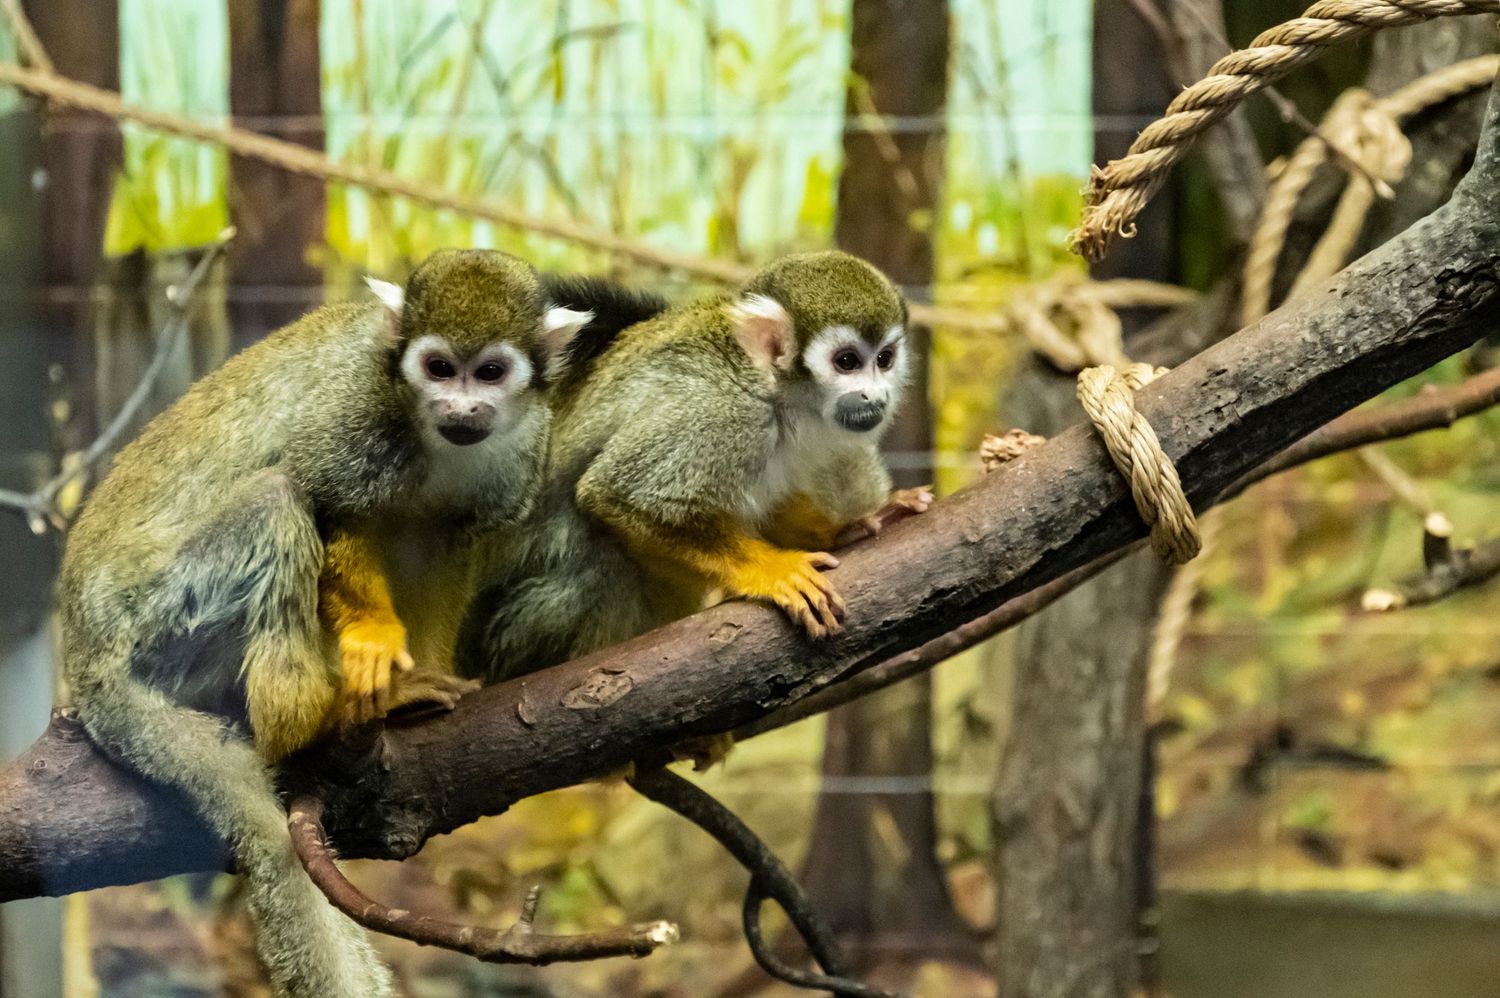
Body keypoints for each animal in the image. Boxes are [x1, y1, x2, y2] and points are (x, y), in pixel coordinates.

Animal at [58, 248, 593, 998]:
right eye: (437, 367)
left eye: (490, 372)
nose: (461, 407)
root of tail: (83, 658)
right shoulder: (357, 411)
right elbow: (326, 501)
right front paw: (375, 647)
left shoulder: (522, 448)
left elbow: (441, 539)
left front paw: (422, 674)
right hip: (153, 622)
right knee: (278, 501)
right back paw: (303, 717)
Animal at [458, 250, 931, 687]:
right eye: (847, 362)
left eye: (884, 359)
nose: (876, 396)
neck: (777, 393)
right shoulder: (723, 413)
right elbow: (615, 491)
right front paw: (772, 570)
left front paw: (851, 526)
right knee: (602, 562)